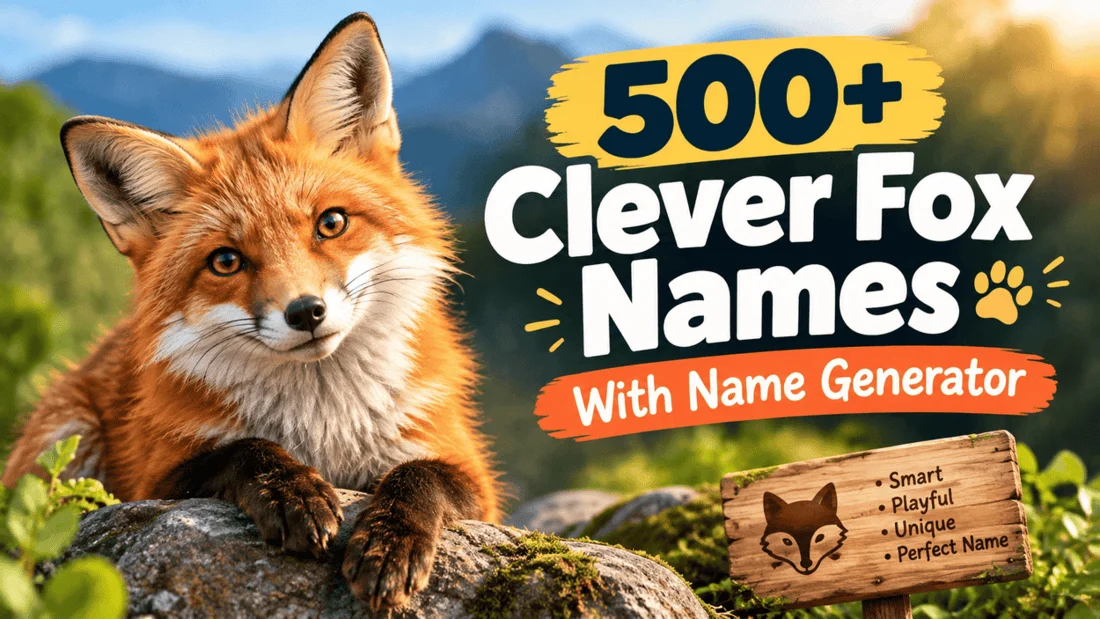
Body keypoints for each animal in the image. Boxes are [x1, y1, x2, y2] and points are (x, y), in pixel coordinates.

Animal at [0, 12, 501, 610]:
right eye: (225, 261)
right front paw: (291, 492)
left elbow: (419, 475)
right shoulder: (157, 477)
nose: (306, 312)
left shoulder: (468, 472)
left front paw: (391, 541)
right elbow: (243, 448)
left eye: (331, 223)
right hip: (69, 442)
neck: (324, 428)